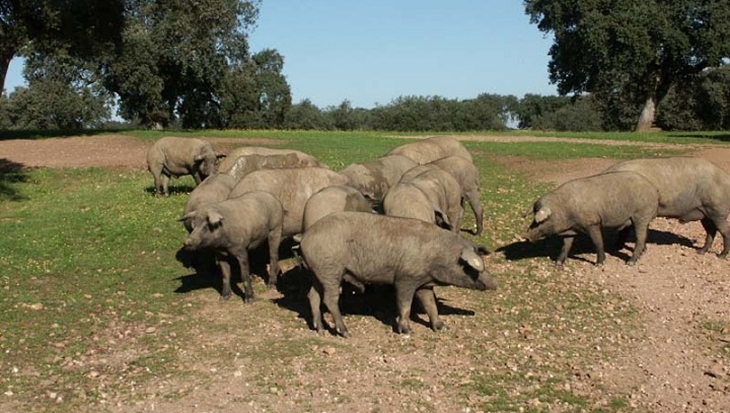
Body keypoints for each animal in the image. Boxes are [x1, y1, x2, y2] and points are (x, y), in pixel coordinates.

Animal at [520, 170, 656, 264]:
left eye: (541, 220)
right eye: (533, 218)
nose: (525, 236)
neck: (565, 210)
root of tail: (652, 187)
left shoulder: (592, 223)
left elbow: (598, 242)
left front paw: (599, 264)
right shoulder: (571, 229)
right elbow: (566, 245)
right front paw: (558, 263)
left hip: (641, 215)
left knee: (640, 238)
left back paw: (630, 262)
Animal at [600, 156, 728, 256]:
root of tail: (725, 176)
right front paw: (618, 246)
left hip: (718, 210)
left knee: (725, 231)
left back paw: (721, 255)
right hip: (706, 213)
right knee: (711, 231)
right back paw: (701, 251)